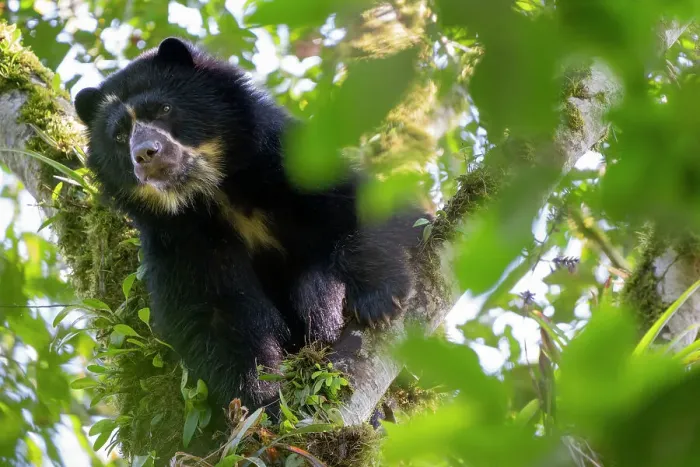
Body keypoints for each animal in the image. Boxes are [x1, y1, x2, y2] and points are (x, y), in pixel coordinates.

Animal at [73, 37, 428, 415]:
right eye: (119, 135)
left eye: (164, 109)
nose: (145, 154)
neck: (214, 190)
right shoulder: (181, 238)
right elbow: (219, 317)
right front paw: (263, 403)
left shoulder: (288, 163)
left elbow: (368, 210)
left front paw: (379, 300)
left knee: (318, 289)